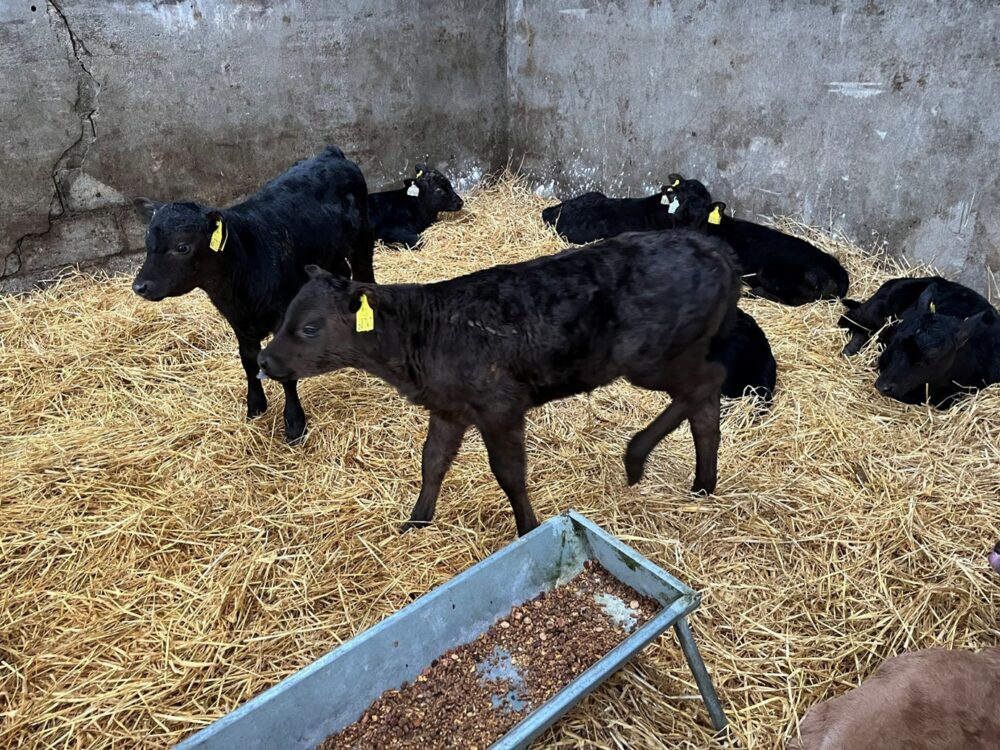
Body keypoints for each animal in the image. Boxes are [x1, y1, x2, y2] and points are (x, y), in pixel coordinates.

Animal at [131, 145, 374, 443]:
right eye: (147, 242)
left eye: (182, 247)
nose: (140, 286)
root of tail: (330, 154)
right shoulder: (239, 323)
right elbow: (248, 361)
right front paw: (255, 406)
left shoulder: (282, 318)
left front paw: (294, 424)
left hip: (362, 240)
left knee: (364, 275)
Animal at [257, 230, 741, 537]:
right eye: (285, 317)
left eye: (309, 328)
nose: (263, 359)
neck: (424, 332)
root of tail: (713, 248)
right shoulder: (448, 408)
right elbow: (432, 462)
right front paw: (416, 522)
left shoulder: (500, 405)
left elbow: (508, 472)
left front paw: (527, 530)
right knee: (704, 402)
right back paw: (702, 483)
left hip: (654, 357)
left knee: (705, 384)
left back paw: (637, 456)